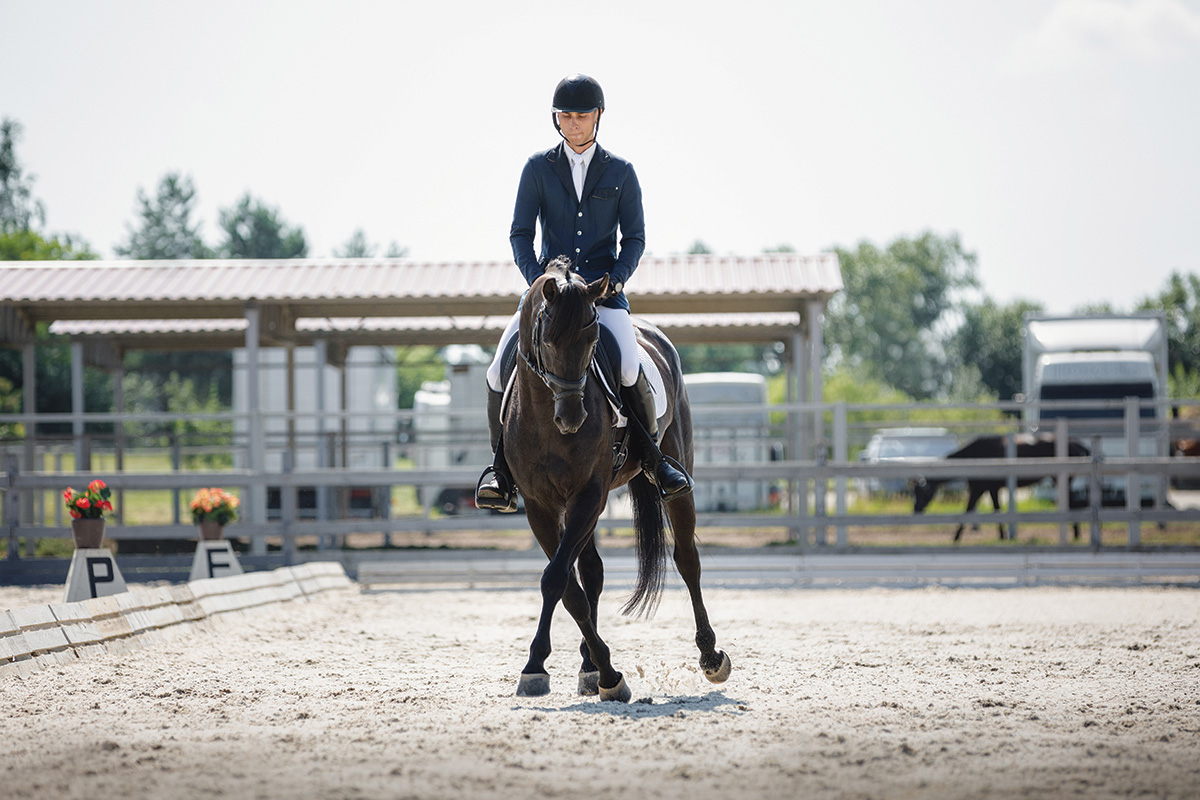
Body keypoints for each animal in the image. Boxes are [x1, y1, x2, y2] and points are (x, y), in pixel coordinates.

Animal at [499, 260, 724, 705]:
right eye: (546, 340)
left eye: (592, 341)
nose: (572, 418)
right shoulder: (540, 506)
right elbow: (567, 584)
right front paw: (545, 667)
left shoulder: (589, 494)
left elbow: (557, 578)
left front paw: (604, 673)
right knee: (591, 570)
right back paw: (586, 666)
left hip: (673, 472)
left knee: (687, 559)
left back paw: (710, 657)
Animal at [912, 431, 1094, 544]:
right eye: (915, 492)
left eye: (923, 492)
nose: (916, 509)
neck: (974, 455)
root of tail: (1078, 444)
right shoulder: (989, 489)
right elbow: (995, 509)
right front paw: (1002, 536)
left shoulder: (980, 489)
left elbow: (970, 510)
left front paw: (956, 538)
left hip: (1061, 479)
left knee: (1072, 503)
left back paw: (1076, 534)